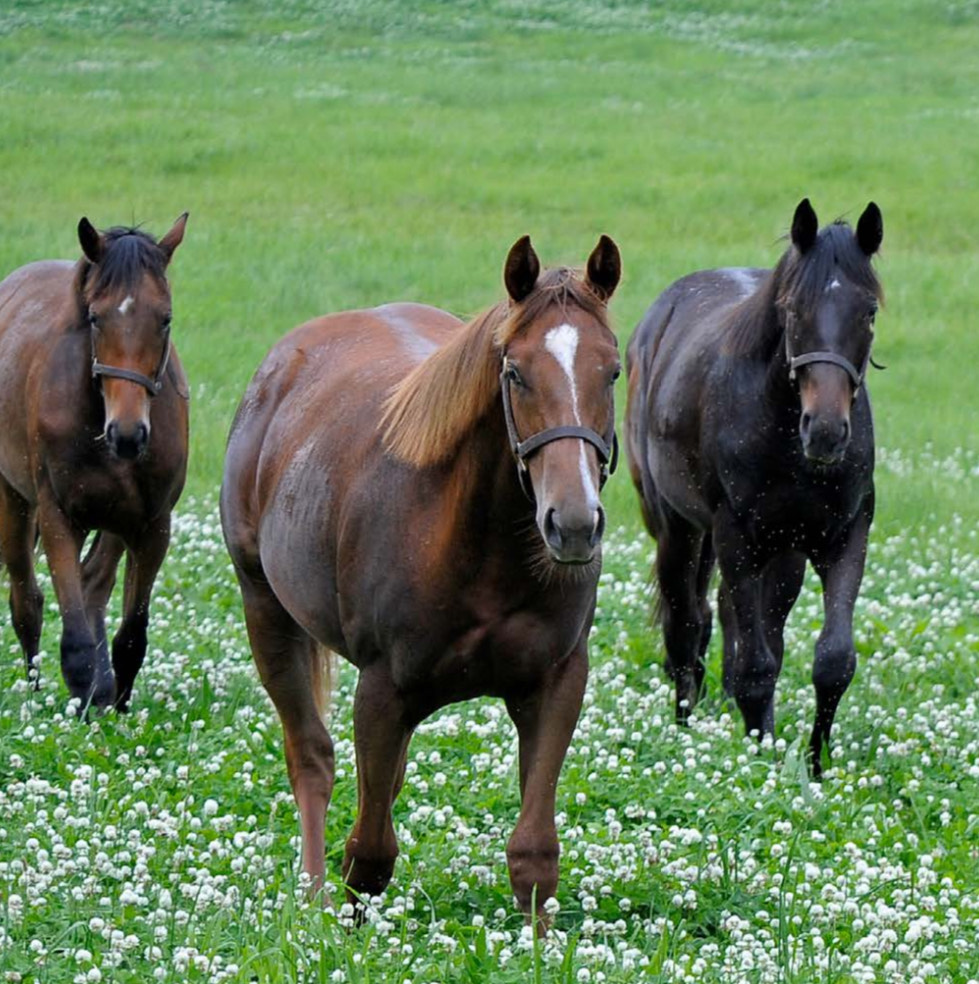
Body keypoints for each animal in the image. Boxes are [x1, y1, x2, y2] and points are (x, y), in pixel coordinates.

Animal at [0, 214, 190, 711]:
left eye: (165, 318)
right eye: (94, 317)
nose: (127, 434)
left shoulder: (152, 524)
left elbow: (131, 635)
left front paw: (116, 704)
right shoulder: (58, 516)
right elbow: (74, 635)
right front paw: (83, 701)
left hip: (114, 520)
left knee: (94, 585)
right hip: (14, 500)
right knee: (26, 601)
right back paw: (37, 690)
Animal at [220, 235, 621, 924]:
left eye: (613, 371)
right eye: (515, 373)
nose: (572, 523)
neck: (478, 547)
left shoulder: (555, 682)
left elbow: (534, 854)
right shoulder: (382, 691)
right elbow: (370, 855)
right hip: (265, 612)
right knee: (312, 760)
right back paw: (312, 895)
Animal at [625, 199, 883, 777]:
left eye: (870, 312)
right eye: (792, 309)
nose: (826, 430)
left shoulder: (844, 537)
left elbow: (832, 659)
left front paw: (813, 764)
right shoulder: (734, 536)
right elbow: (756, 666)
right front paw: (761, 754)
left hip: (781, 552)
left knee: (731, 618)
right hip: (679, 530)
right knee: (687, 625)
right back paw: (686, 722)